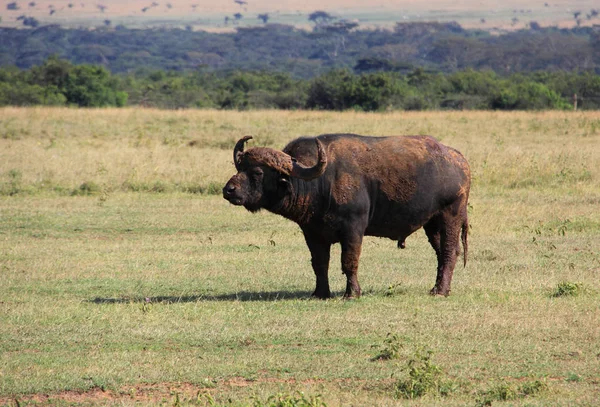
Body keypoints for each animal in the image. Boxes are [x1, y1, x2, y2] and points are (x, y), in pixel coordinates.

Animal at [223, 135, 472, 300]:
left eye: (257, 172)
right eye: (239, 167)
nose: (229, 190)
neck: (322, 182)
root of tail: (460, 161)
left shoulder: (353, 230)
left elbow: (349, 261)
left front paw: (352, 293)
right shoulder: (312, 233)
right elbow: (319, 263)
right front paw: (320, 293)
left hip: (451, 216)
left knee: (449, 252)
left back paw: (441, 291)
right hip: (431, 224)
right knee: (442, 253)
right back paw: (438, 287)